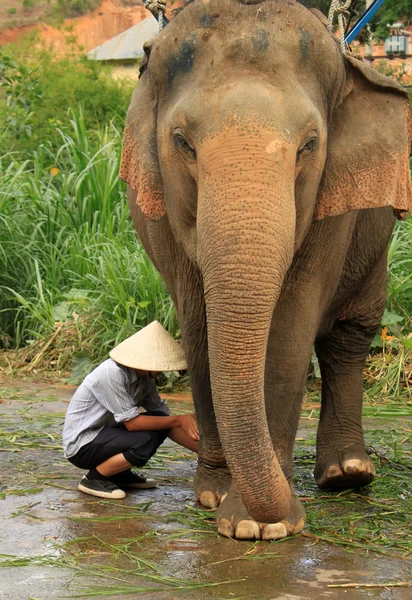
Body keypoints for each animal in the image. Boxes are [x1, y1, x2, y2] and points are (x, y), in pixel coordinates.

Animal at [117, 0, 410, 540]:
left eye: (310, 144)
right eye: (182, 142)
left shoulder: (331, 205)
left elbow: (292, 325)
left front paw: (262, 526)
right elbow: (199, 327)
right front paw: (216, 499)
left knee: (351, 333)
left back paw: (348, 474)